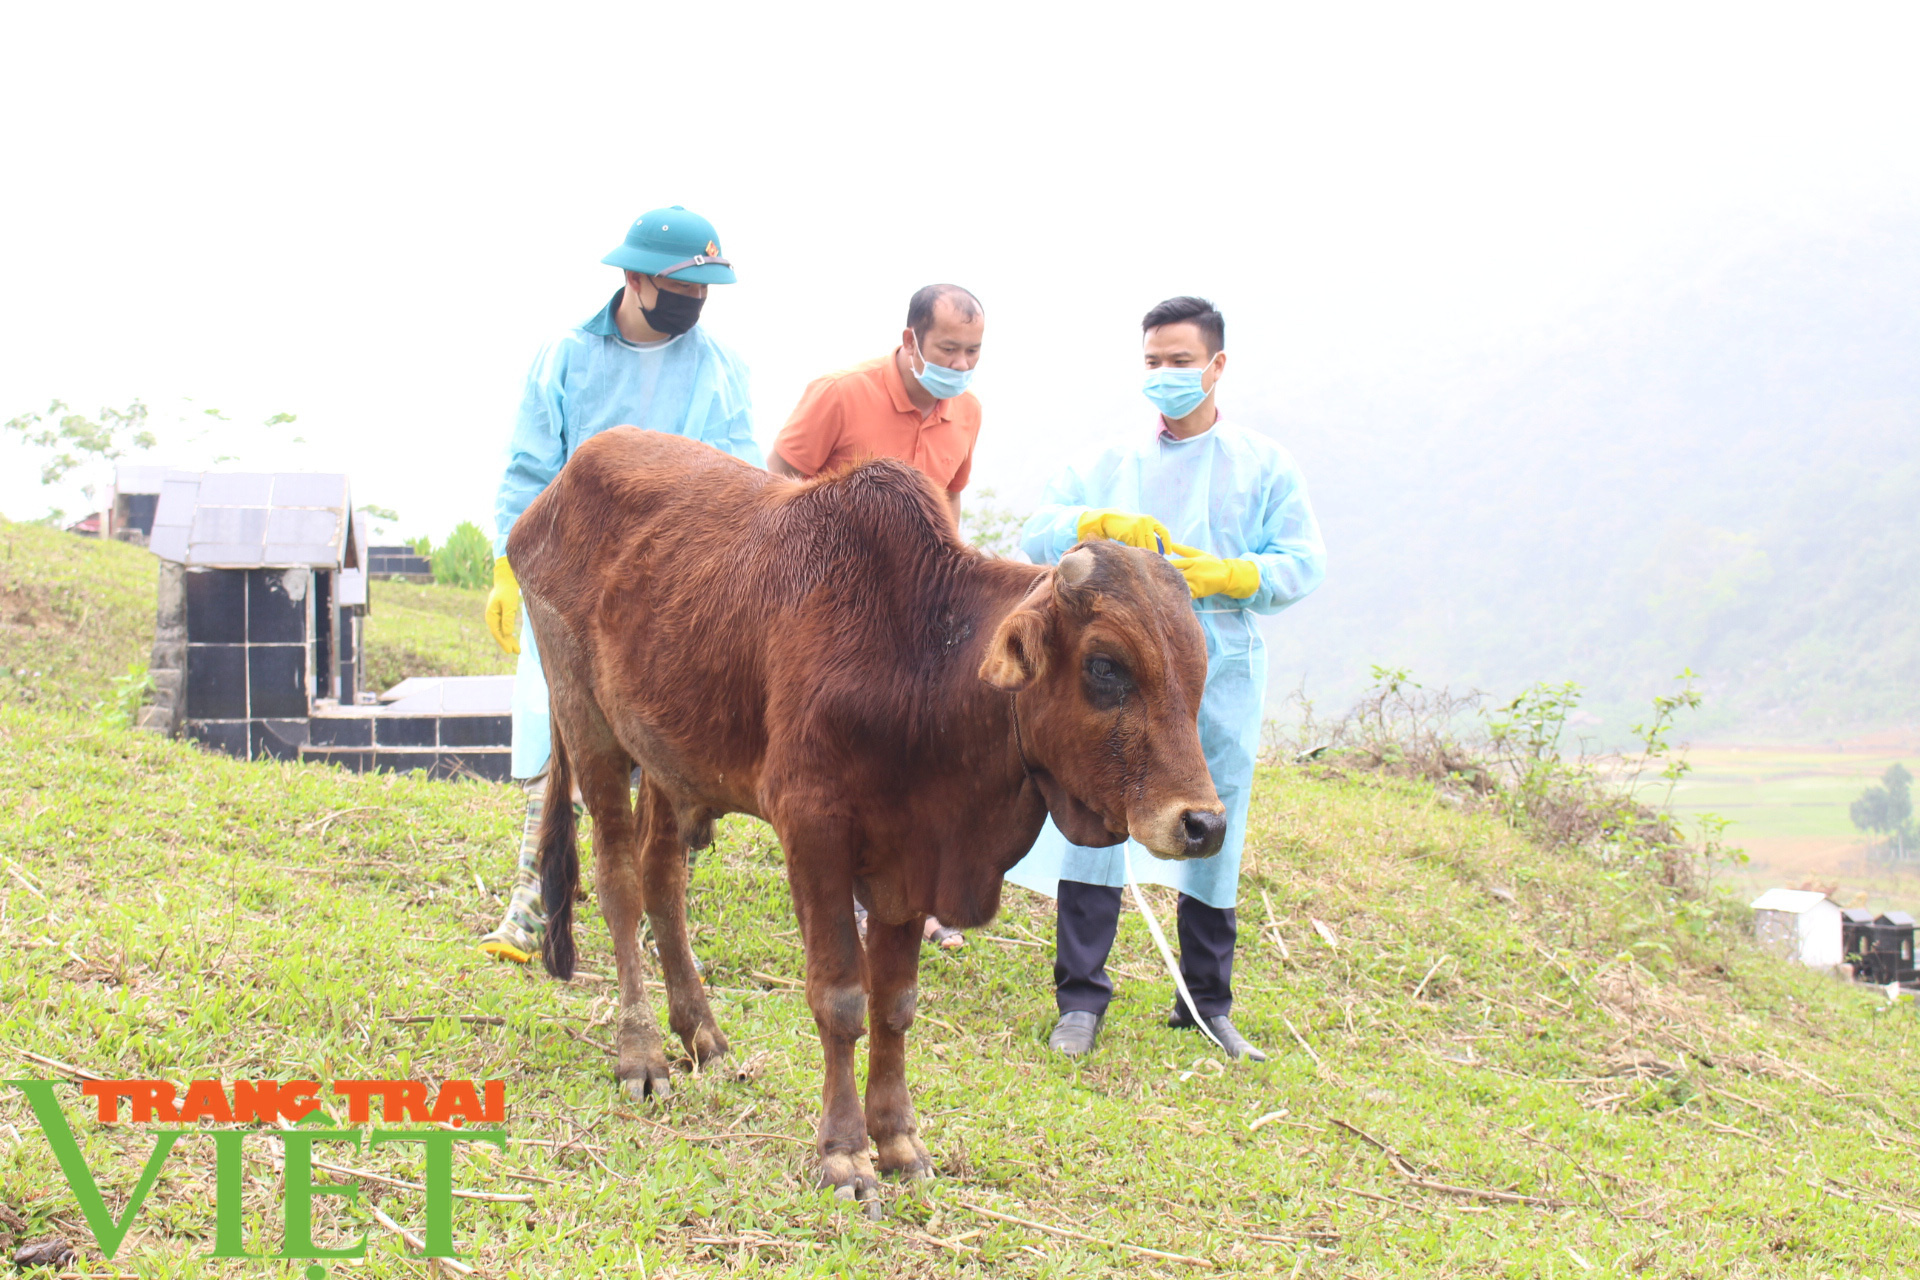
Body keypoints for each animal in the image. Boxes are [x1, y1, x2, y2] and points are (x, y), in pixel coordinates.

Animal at [510, 427, 1221, 1205]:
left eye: (1198, 668)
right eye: (1106, 666)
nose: (1203, 824)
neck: (920, 658)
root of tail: (555, 490)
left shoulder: (908, 865)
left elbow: (896, 1005)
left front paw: (899, 1141)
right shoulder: (814, 834)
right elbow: (843, 1000)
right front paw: (845, 1153)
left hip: (667, 758)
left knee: (663, 884)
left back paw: (702, 1036)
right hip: (586, 718)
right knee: (617, 883)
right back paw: (640, 1053)